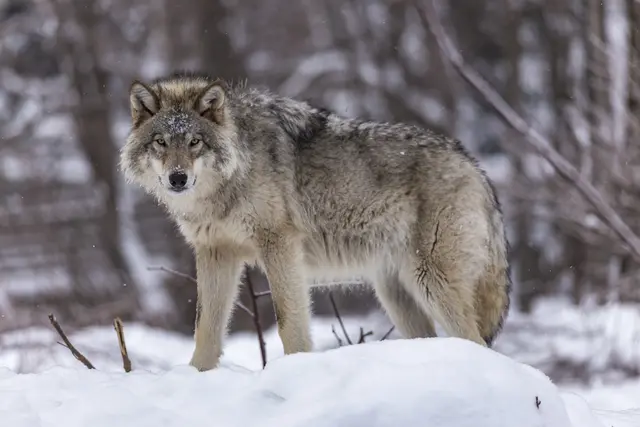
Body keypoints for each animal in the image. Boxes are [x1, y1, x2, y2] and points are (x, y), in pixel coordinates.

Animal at [120, 72, 511, 371]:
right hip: (397, 293)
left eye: (194, 142)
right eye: (161, 142)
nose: (178, 178)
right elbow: (206, 328)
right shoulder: (215, 252)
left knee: (477, 341)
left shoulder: (278, 243)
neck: (230, 180)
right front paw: (196, 375)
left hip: (431, 282)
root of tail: (474, 166)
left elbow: (288, 320)